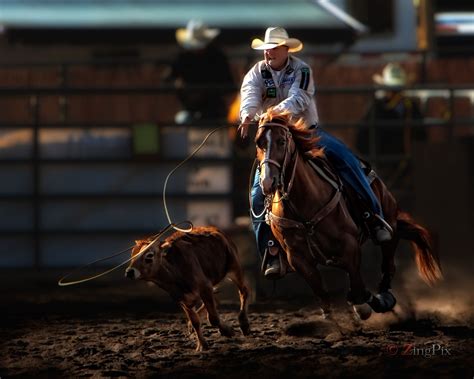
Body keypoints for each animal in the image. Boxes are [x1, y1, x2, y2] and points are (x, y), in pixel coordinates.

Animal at [126, 226, 252, 354]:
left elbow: (213, 318)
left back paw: (244, 324)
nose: (129, 272)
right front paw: (202, 345)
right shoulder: (182, 299)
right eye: (132, 255)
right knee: (215, 301)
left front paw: (227, 331)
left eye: (149, 255)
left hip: (234, 268)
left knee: (244, 291)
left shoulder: (205, 287)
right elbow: (195, 321)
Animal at [254, 110, 442, 320]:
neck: (304, 206)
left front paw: (364, 304)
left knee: (388, 262)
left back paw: (384, 298)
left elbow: (358, 285)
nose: (268, 182)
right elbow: (322, 293)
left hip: (390, 223)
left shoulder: (349, 246)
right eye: (259, 142)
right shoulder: (297, 257)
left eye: (281, 141)